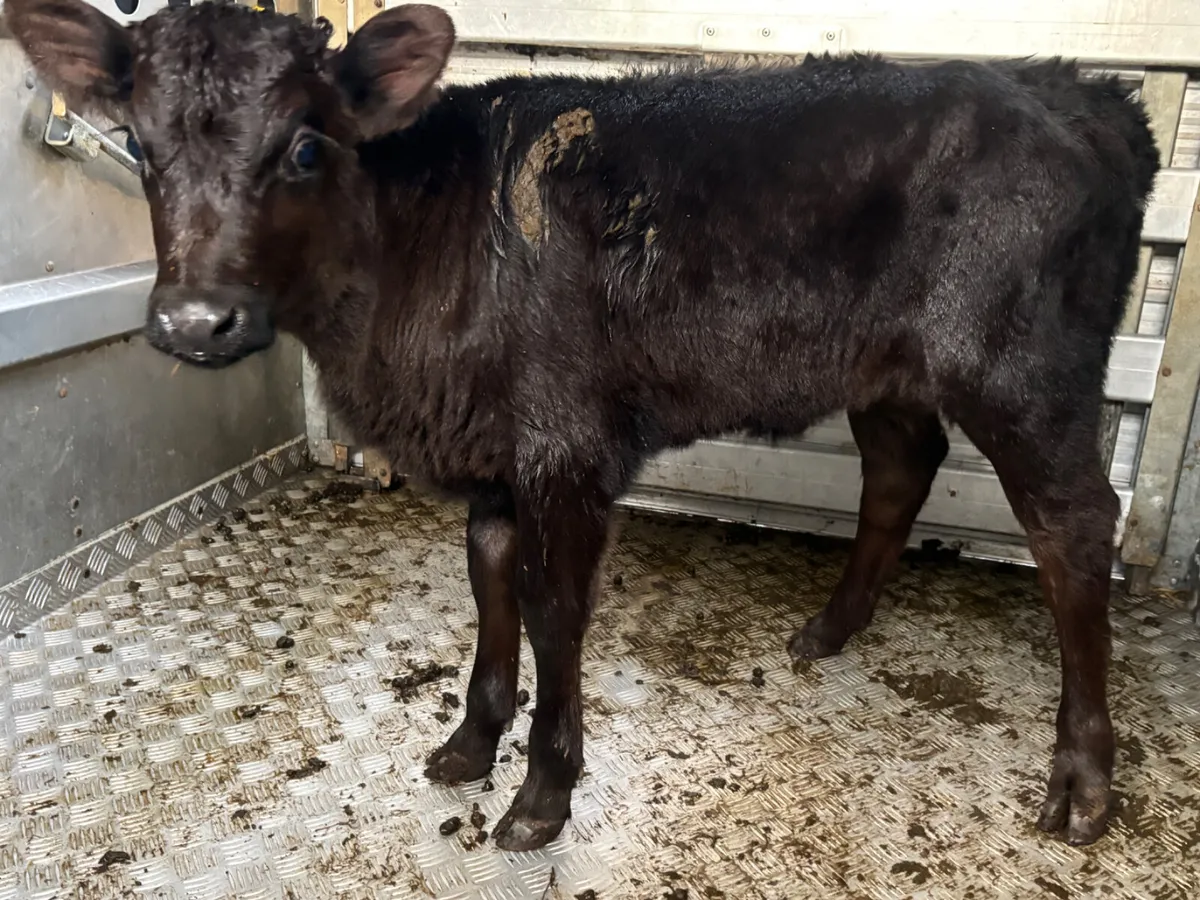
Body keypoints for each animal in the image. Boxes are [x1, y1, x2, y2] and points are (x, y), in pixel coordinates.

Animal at [6, 0, 1160, 852]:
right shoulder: (491, 457)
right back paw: (830, 630)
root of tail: (1075, 87)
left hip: (1022, 368)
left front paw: (541, 795)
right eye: (140, 144)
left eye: (303, 146)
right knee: (902, 465)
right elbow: (488, 586)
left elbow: (554, 609)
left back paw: (1082, 781)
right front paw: (469, 744)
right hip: (887, 367)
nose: (197, 319)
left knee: (1075, 528)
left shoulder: (567, 447)